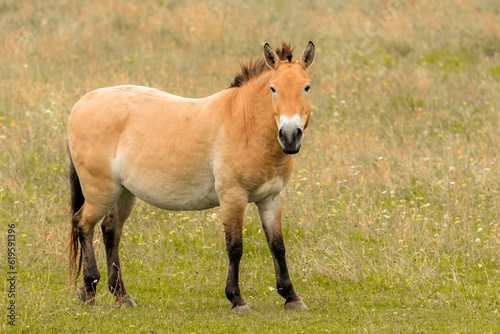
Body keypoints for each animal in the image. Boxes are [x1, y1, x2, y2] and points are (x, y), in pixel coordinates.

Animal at [68, 41, 314, 314]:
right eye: (273, 88)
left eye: (306, 87)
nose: (290, 136)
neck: (246, 123)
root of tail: (82, 103)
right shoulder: (233, 197)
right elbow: (235, 247)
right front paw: (237, 299)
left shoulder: (272, 198)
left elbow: (277, 246)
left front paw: (291, 296)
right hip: (101, 192)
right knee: (83, 224)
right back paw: (89, 288)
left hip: (123, 194)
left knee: (110, 231)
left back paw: (121, 294)